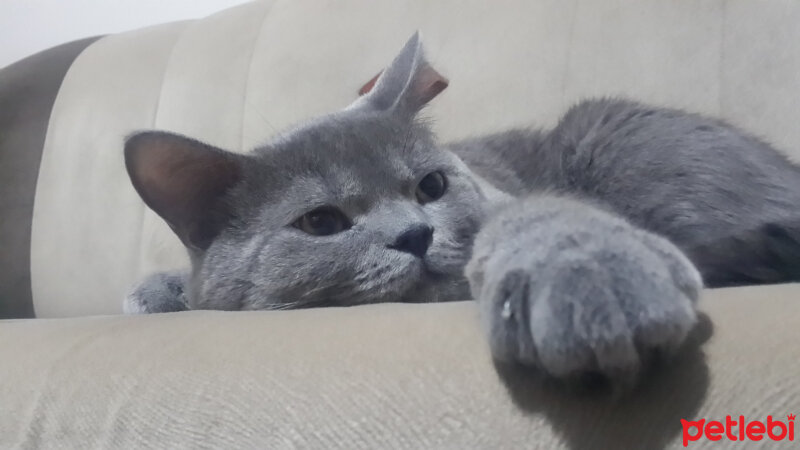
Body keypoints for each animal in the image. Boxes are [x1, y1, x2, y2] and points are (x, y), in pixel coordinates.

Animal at [123, 33, 800, 388]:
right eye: (321, 222)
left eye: (431, 186)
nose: (415, 234)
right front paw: (157, 293)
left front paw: (590, 280)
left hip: (605, 129)